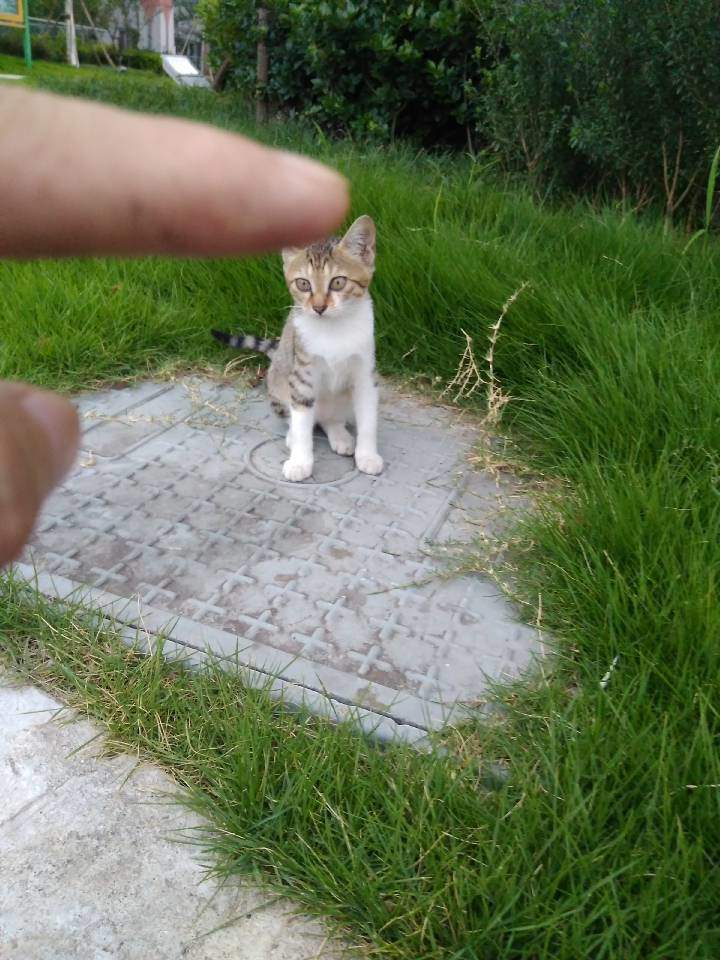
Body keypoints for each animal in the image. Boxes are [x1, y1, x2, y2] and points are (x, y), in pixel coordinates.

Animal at [212, 214, 383, 483]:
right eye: (303, 284)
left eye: (338, 282)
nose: (319, 307)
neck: (334, 329)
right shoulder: (303, 374)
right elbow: (302, 421)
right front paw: (300, 462)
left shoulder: (366, 374)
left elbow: (368, 420)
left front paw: (367, 455)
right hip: (278, 380)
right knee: (297, 417)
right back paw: (293, 436)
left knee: (329, 419)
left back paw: (340, 435)